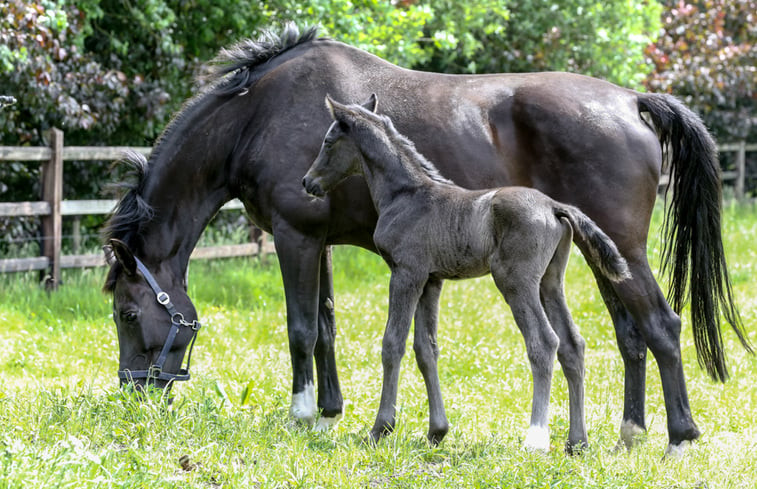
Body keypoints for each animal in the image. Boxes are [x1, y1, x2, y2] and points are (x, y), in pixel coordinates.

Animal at [102, 23, 752, 454]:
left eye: (128, 313)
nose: (135, 394)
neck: (258, 114)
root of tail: (633, 100)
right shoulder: (323, 242)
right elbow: (330, 324)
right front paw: (333, 412)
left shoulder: (297, 238)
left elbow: (302, 329)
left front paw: (304, 412)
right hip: (599, 258)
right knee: (626, 336)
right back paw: (622, 433)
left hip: (622, 252)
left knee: (661, 327)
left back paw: (677, 437)